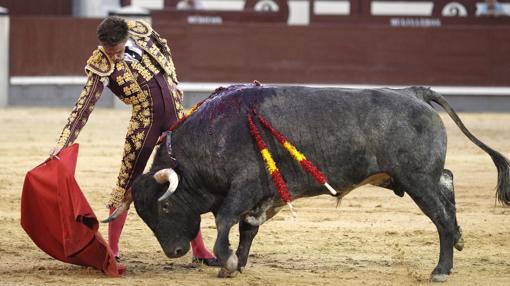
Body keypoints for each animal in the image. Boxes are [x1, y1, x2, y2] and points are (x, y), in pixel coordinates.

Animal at [130, 85, 510, 282]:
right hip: (417, 177)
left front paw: (229, 263)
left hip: (416, 179)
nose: (174, 251)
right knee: (447, 182)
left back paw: (441, 269)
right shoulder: (263, 196)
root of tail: (414, 92)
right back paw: (459, 241)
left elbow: (225, 221)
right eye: (146, 216)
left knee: (441, 217)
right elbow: (247, 229)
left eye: (166, 206)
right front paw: (236, 265)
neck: (211, 136)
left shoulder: (244, 187)